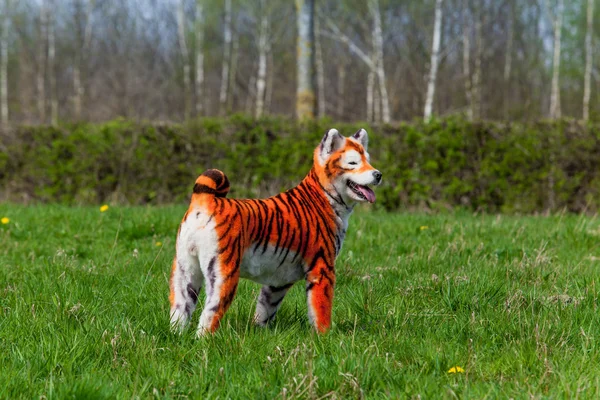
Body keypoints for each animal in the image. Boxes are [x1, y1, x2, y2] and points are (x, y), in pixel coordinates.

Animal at [169, 128, 382, 334]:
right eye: (353, 162)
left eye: (368, 161)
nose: (378, 174)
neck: (327, 197)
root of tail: (205, 199)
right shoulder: (322, 267)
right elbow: (321, 308)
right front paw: (325, 337)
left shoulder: (279, 280)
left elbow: (266, 307)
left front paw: (260, 333)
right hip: (223, 274)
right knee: (208, 315)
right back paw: (205, 341)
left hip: (185, 271)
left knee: (179, 312)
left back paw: (176, 337)